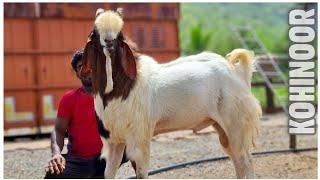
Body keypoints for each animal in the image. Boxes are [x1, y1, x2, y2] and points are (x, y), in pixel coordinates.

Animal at [80, 8, 262, 179]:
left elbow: (141, 173)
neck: (124, 86)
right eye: (96, 32)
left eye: (119, 35)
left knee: (247, 160)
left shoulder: (139, 138)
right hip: (223, 128)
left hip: (236, 124)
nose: (109, 43)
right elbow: (108, 173)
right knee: (238, 160)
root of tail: (238, 72)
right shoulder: (114, 141)